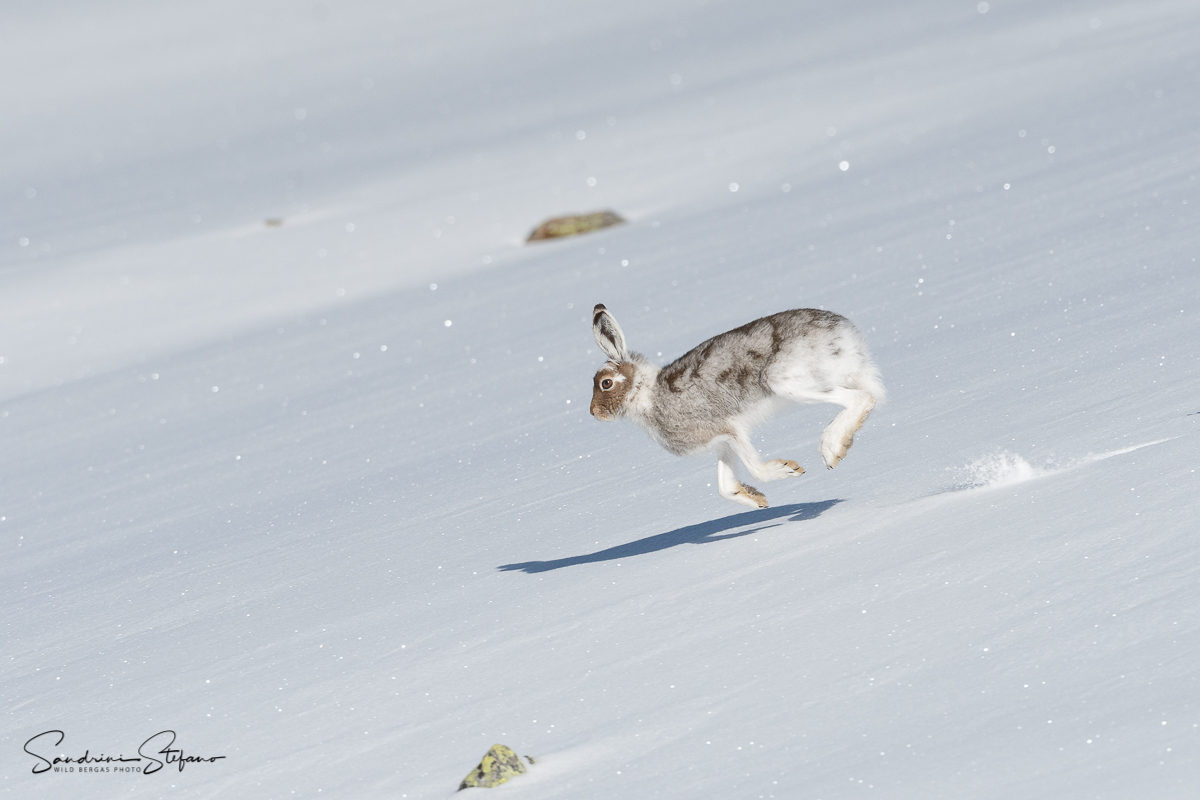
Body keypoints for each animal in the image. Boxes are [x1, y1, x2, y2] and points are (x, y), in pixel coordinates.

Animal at [590, 303, 884, 509]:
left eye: (605, 383)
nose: (593, 414)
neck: (648, 395)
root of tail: (844, 334)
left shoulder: (730, 429)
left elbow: (756, 469)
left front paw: (787, 469)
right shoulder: (721, 442)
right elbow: (724, 486)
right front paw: (757, 500)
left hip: (783, 380)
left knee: (860, 398)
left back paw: (831, 449)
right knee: (870, 396)